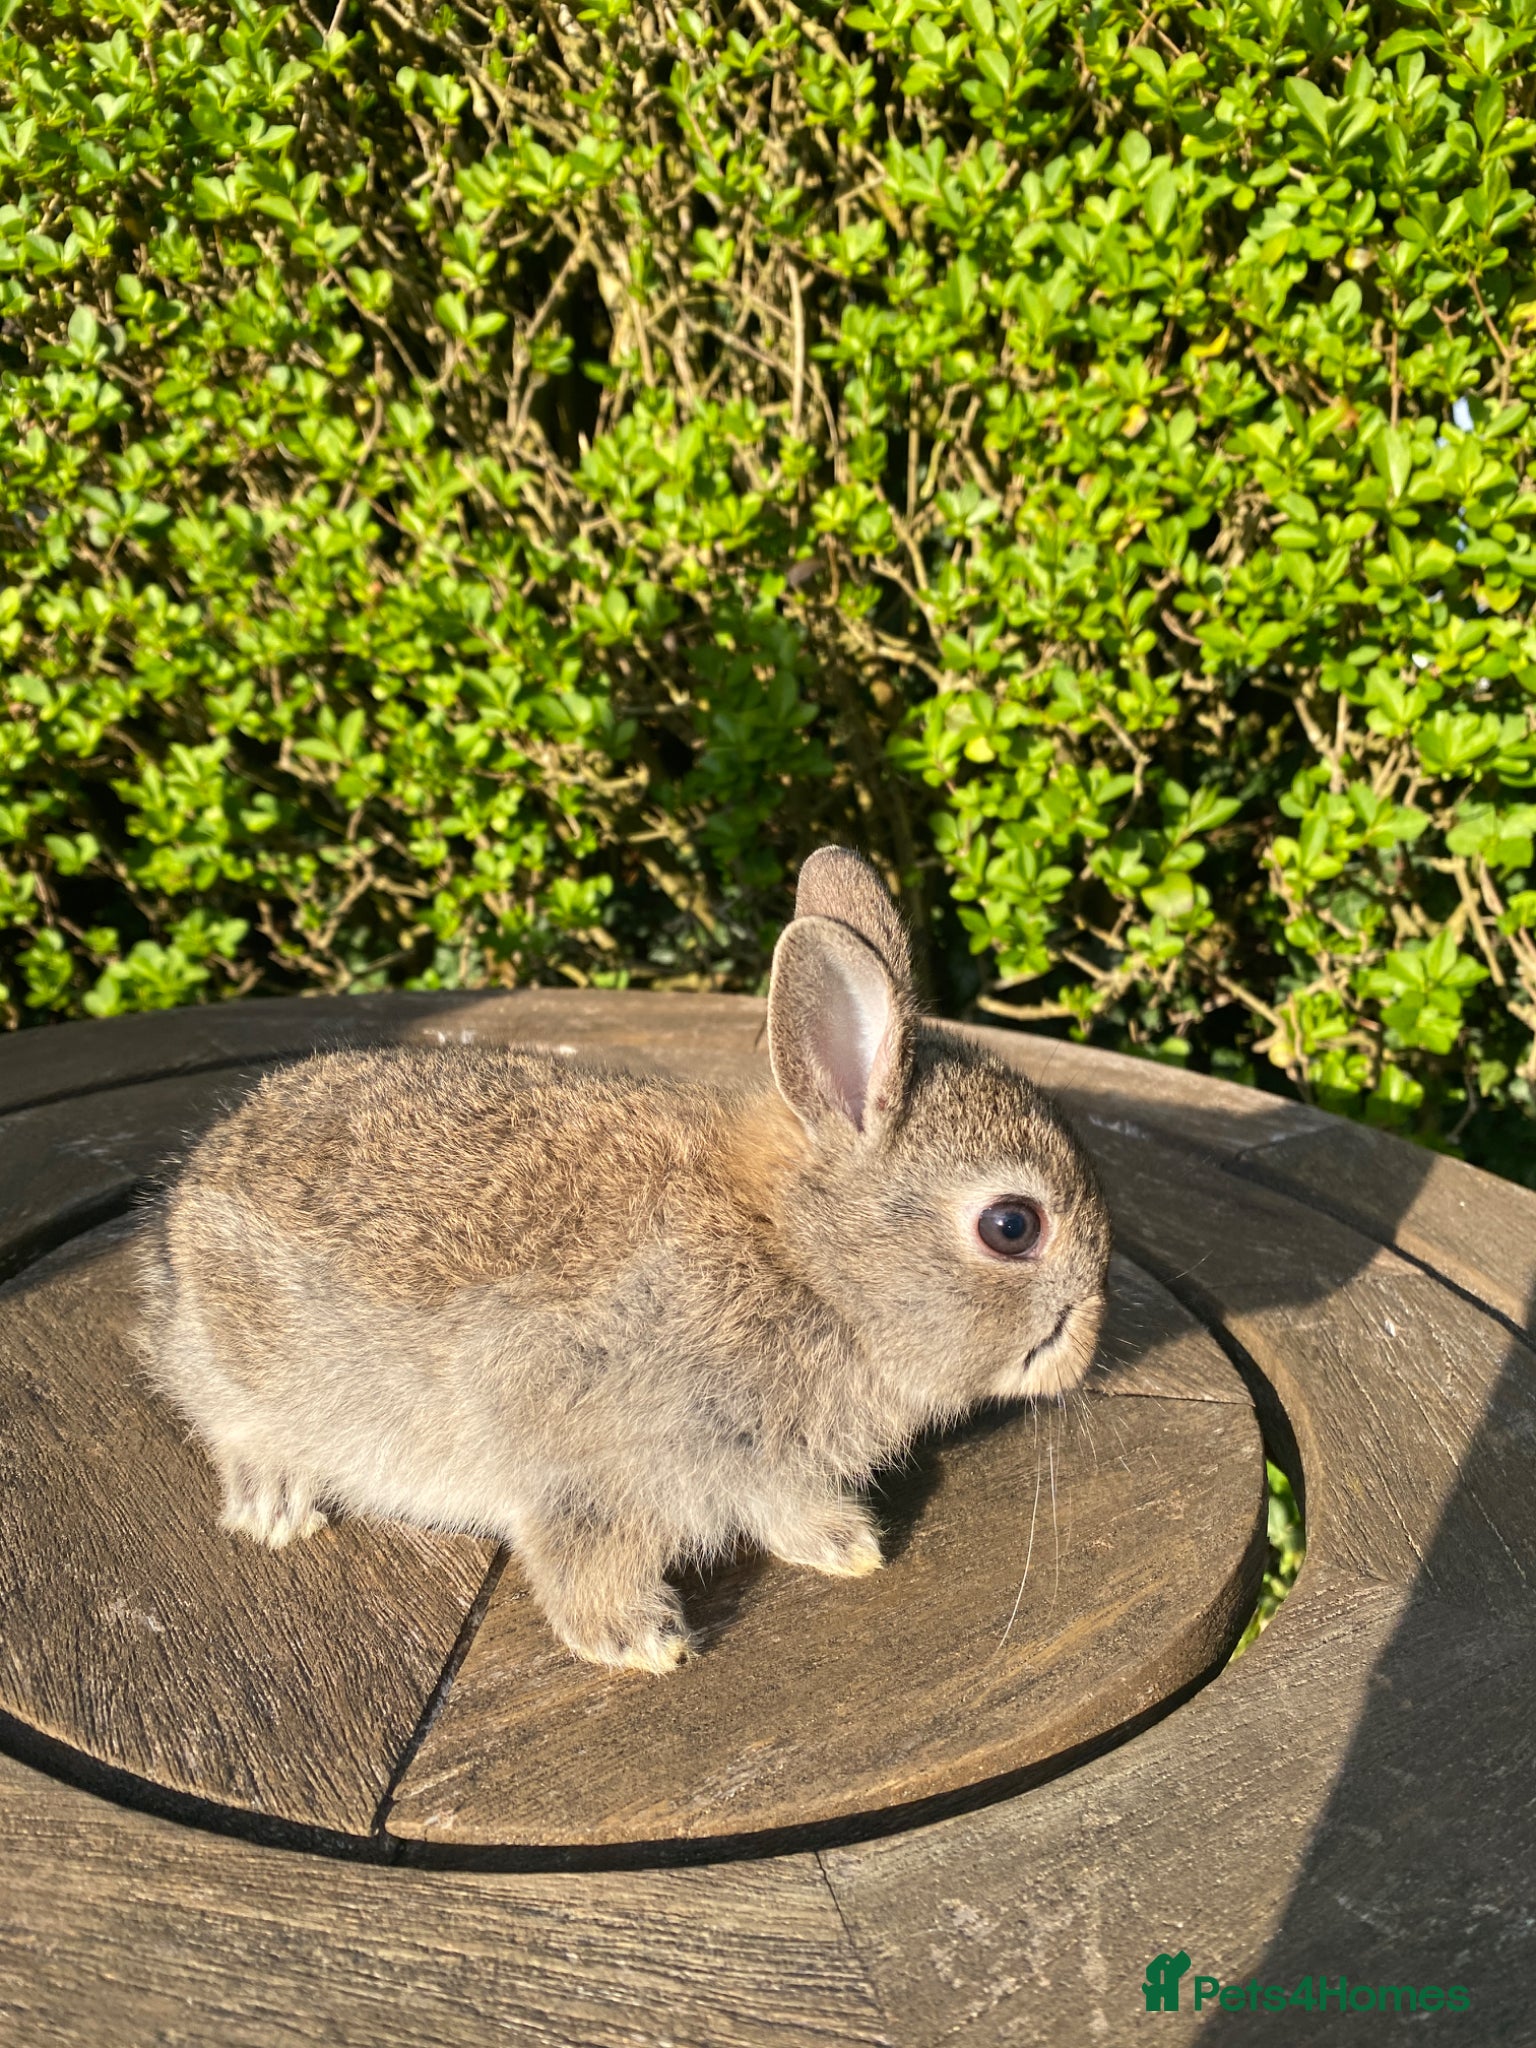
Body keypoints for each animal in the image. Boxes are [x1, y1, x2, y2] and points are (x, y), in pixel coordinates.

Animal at [137, 848, 1111, 1675]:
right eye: (1013, 1227)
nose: (1089, 1344)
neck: (802, 1261)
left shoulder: (761, 1462)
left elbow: (779, 1503)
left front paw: (845, 1546)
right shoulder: (571, 1439)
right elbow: (583, 1550)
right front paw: (640, 1641)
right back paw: (275, 1504)